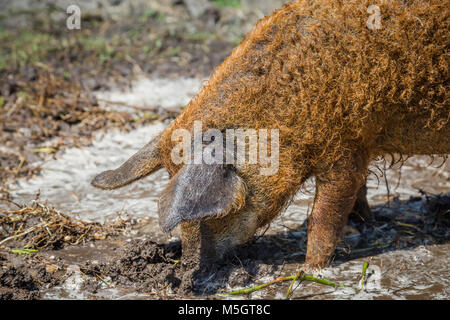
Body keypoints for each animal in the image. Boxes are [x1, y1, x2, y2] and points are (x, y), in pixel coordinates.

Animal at [89, 0, 448, 268]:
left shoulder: (346, 147)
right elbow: (357, 195)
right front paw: (368, 224)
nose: (188, 266)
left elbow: (324, 215)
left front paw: (308, 270)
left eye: (215, 211)